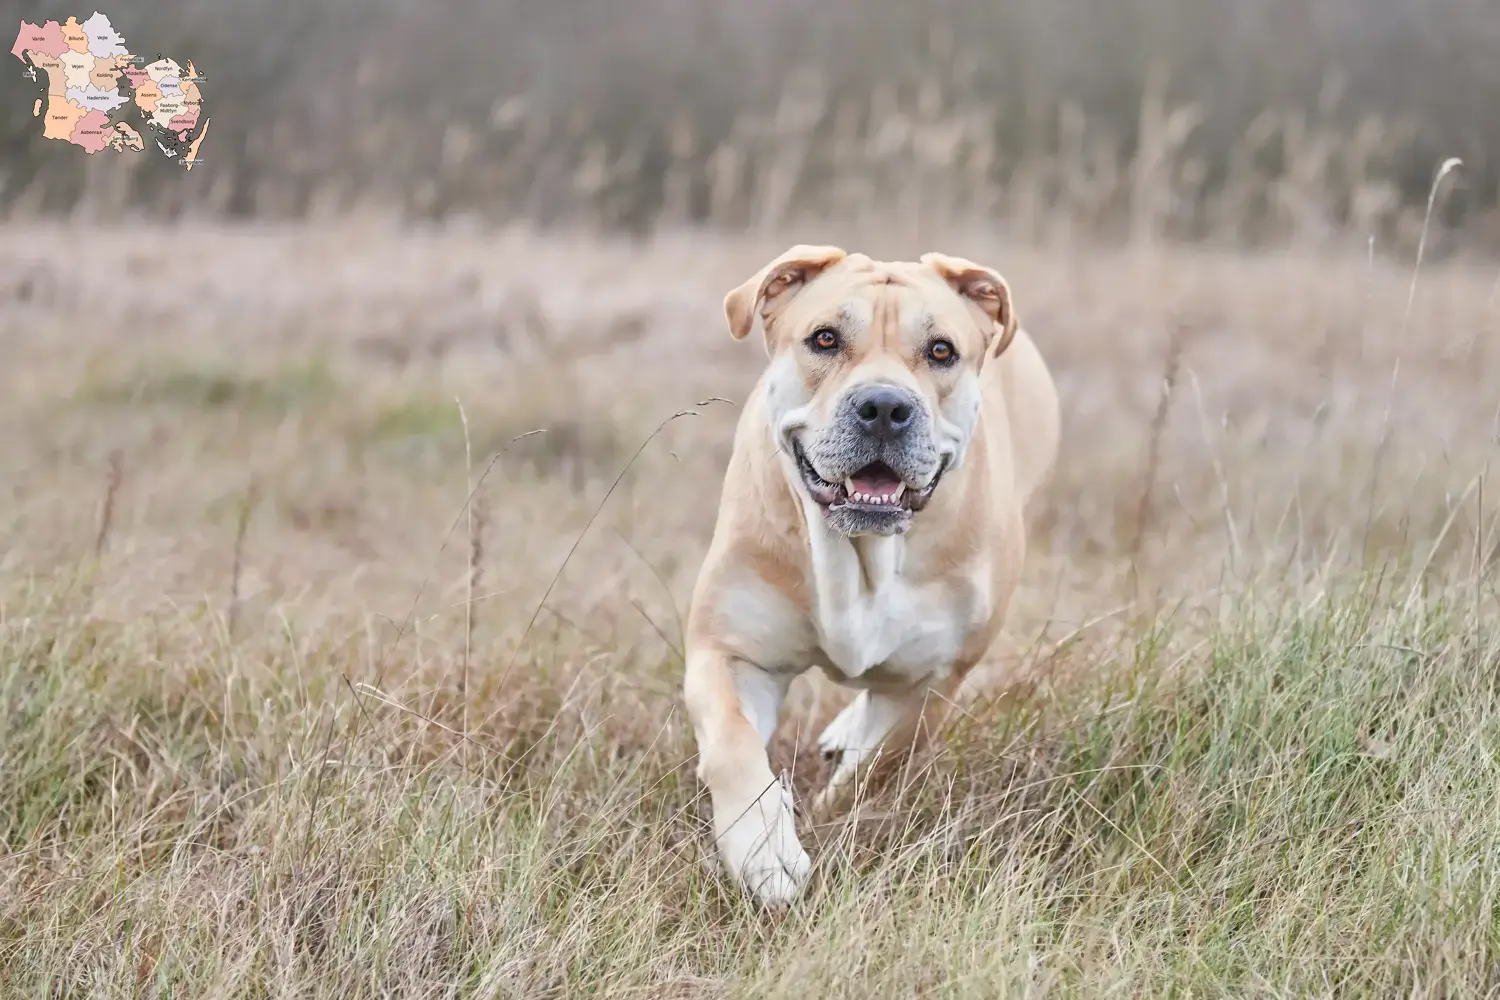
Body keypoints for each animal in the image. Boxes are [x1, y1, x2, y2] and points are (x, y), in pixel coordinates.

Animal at [687, 244, 1062, 905]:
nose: (885, 407)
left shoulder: (932, 682)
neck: (860, 553)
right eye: (825, 338)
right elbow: (732, 743)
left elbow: (873, 769)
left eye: (941, 351)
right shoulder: (728, 650)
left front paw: (827, 815)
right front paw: (765, 849)